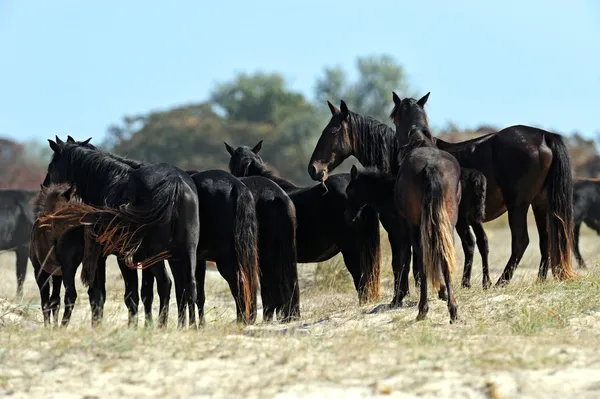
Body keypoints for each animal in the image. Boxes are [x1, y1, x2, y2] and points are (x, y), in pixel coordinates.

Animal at [42, 139, 202, 330]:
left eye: (52, 165)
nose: (45, 186)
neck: (108, 180)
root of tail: (174, 182)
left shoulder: (109, 256)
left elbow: (109, 294)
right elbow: (145, 293)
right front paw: (144, 326)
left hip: (157, 255)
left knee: (166, 283)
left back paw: (162, 326)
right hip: (184, 253)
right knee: (188, 286)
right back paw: (188, 326)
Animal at [310, 97, 576, 288]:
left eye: (331, 131)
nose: (313, 169)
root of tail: (544, 135)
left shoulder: (402, 225)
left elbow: (406, 259)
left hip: (518, 204)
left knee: (521, 241)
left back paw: (502, 281)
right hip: (539, 204)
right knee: (545, 241)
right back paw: (539, 279)